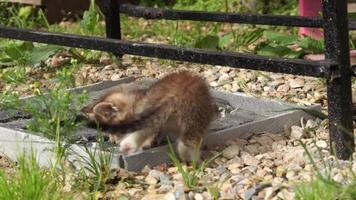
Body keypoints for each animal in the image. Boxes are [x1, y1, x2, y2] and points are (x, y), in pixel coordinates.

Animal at [81, 71, 216, 163]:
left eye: (112, 133)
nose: (113, 141)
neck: (136, 100)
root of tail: (176, 93)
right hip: (196, 116)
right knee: (189, 141)